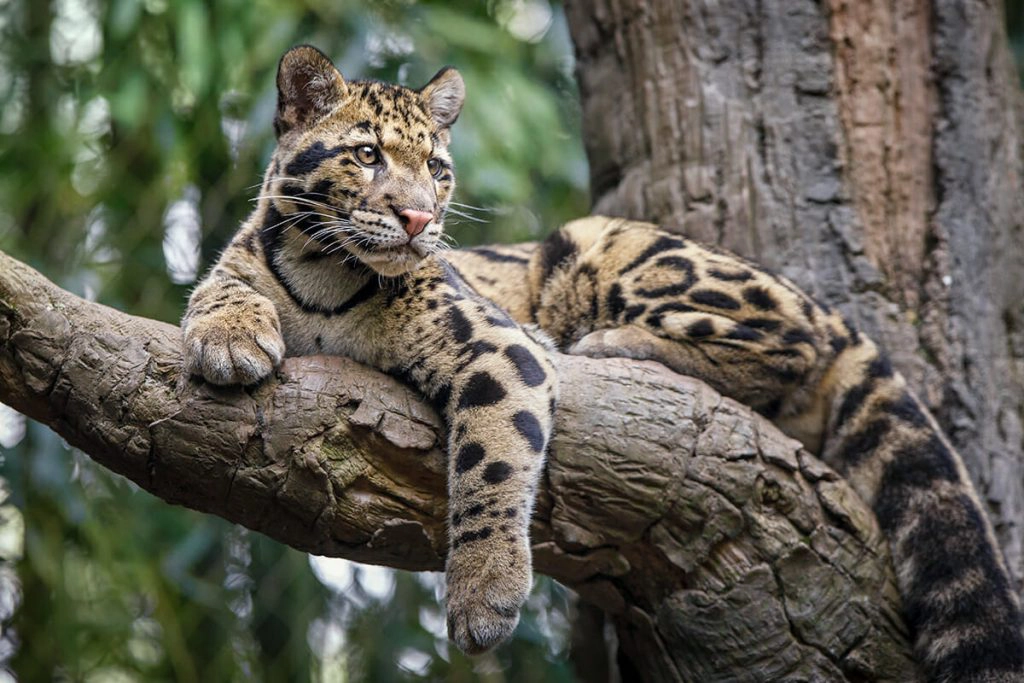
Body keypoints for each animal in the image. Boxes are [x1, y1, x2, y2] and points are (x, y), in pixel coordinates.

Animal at [183, 45, 1024, 681]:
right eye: (366, 154)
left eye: (439, 169)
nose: (420, 217)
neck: (323, 272)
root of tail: (833, 309)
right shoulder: (247, 259)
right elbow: (216, 285)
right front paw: (228, 335)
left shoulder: (497, 343)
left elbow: (490, 461)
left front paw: (483, 594)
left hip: (608, 246)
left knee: (791, 344)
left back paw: (613, 344)